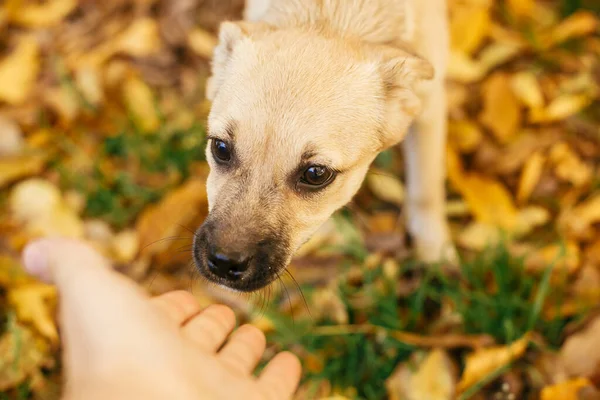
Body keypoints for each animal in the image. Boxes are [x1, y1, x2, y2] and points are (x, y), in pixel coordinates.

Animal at [195, 0, 458, 292]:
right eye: (220, 148)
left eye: (315, 174)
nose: (224, 262)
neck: (329, 17)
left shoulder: (431, 108)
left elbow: (427, 187)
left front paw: (434, 250)